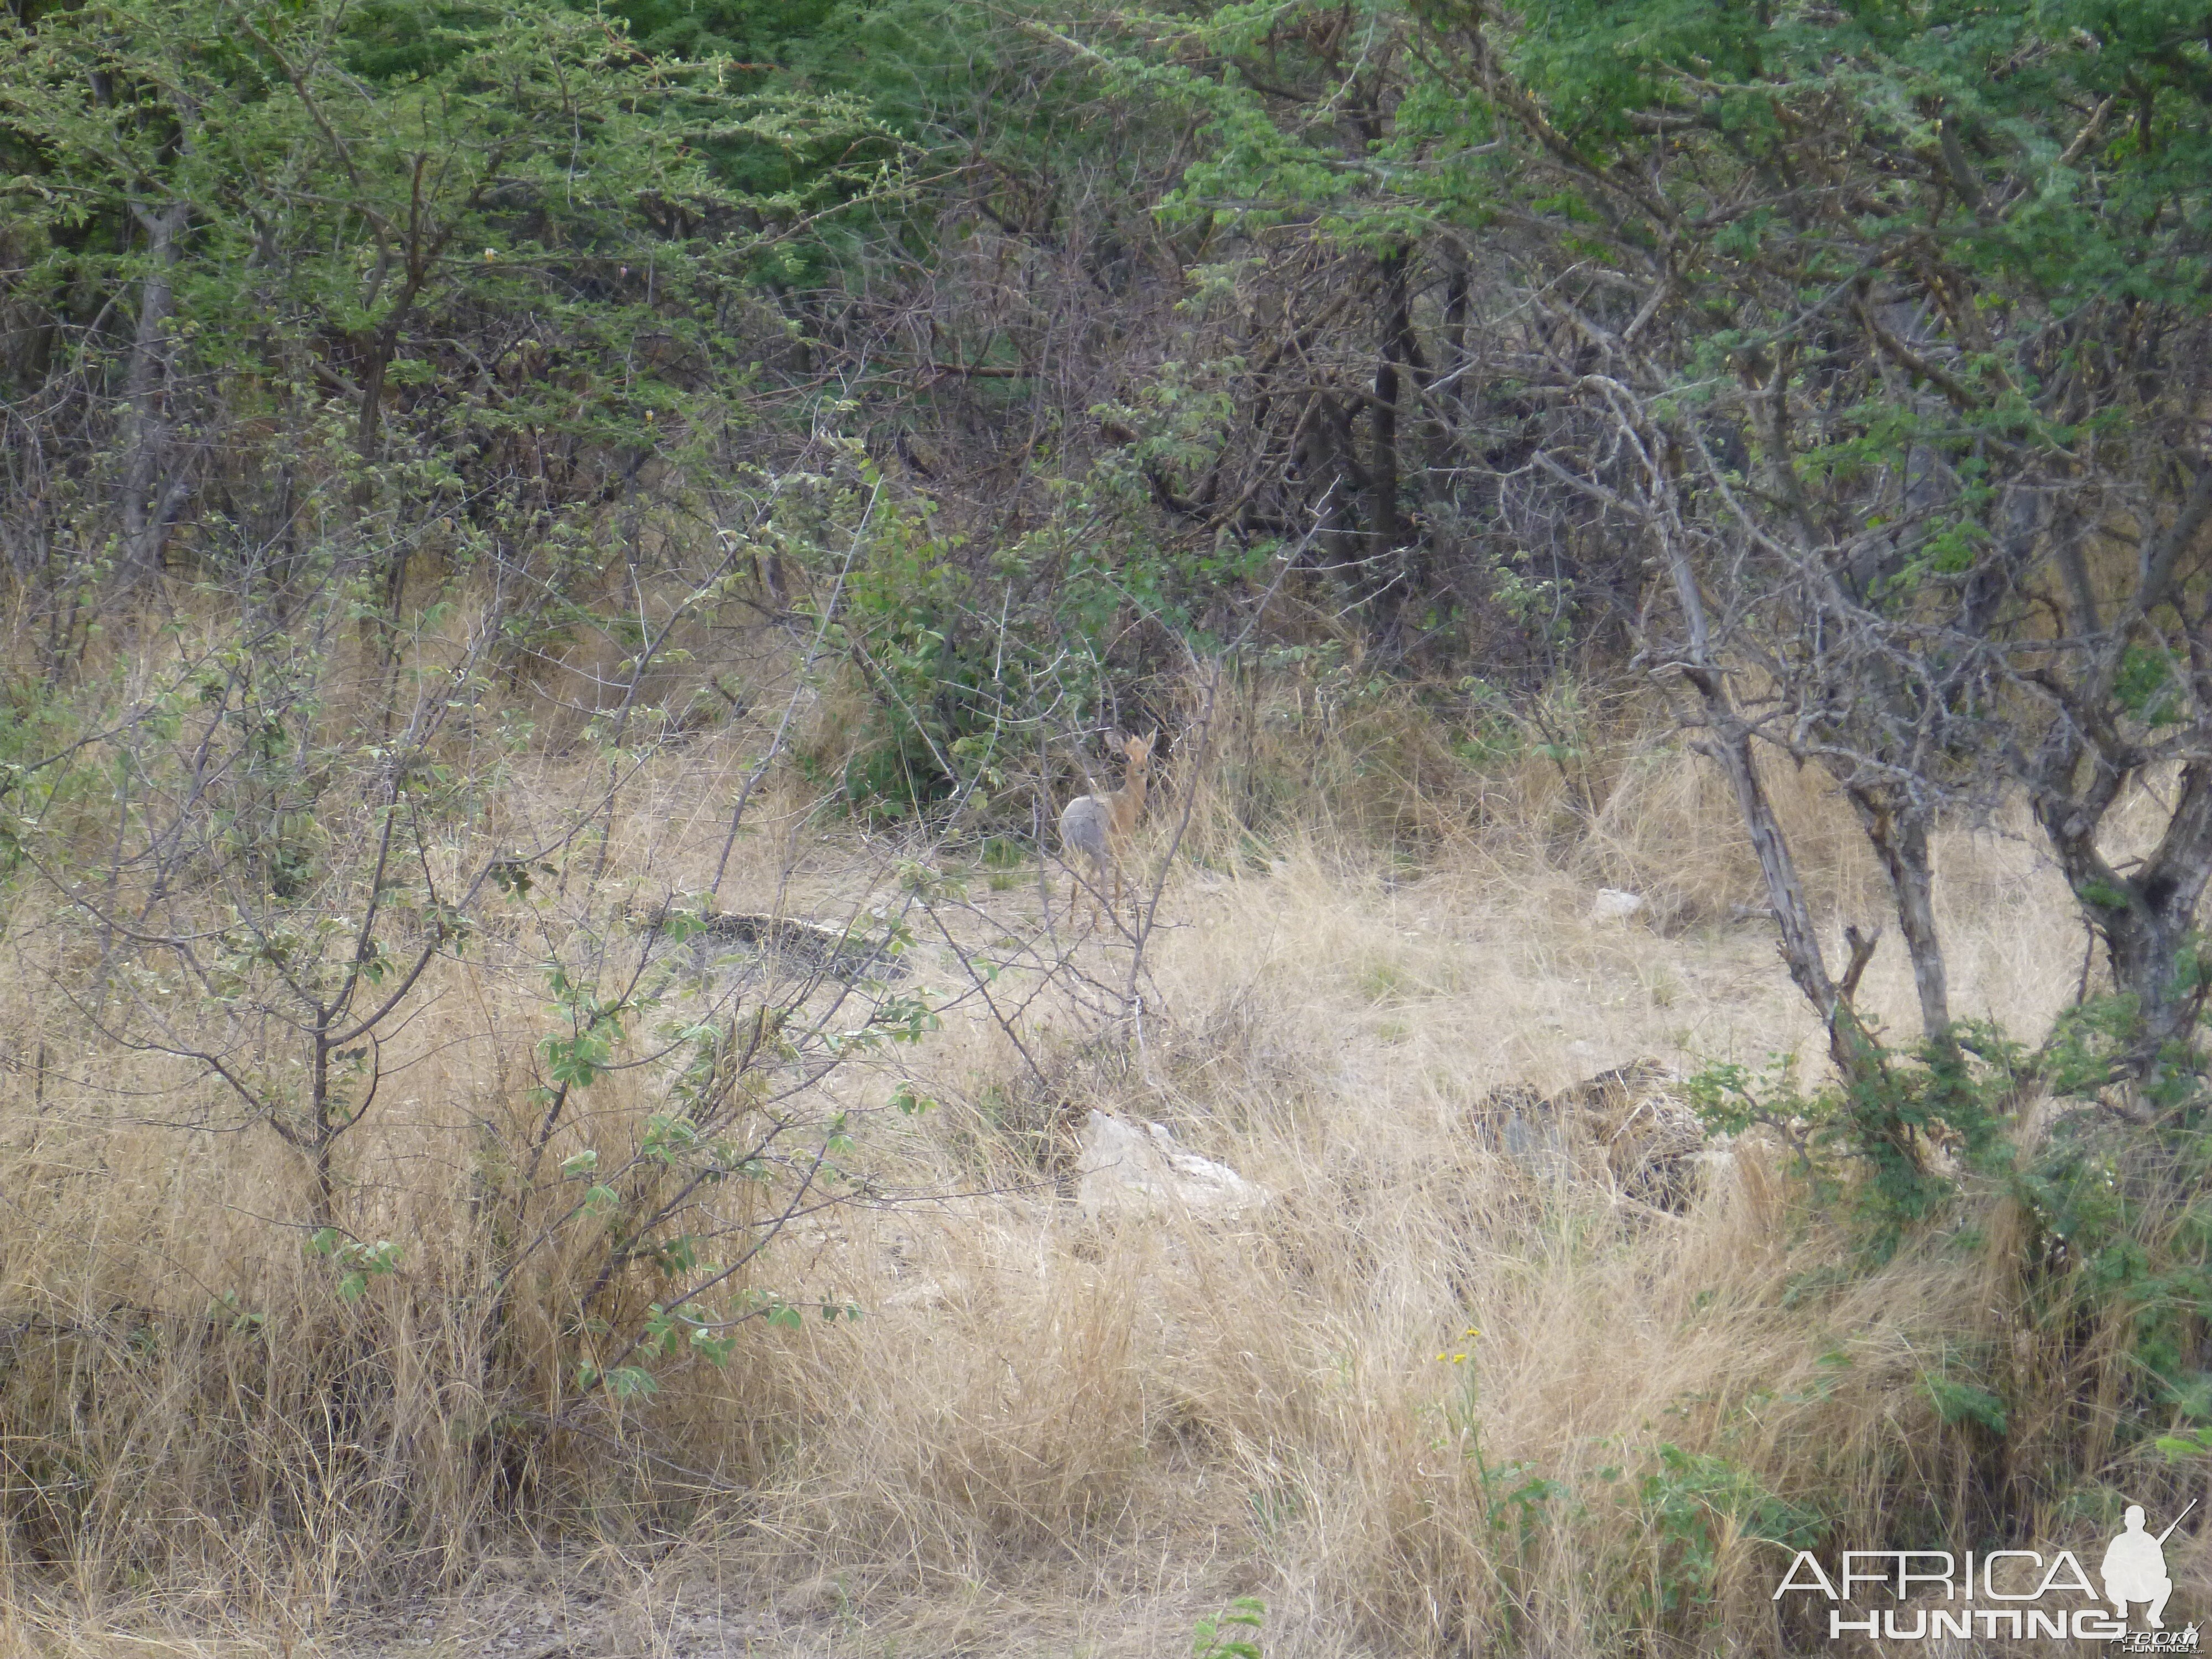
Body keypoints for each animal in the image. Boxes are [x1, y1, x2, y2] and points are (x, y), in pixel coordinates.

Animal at [1057, 734, 1159, 929]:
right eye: (1128, 756)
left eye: (1147, 754)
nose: (1142, 770)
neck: (1128, 800)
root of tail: (1074, 818)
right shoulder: (1121, 851)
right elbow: (1118, 885)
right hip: (1097, 853)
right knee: (1094, 883)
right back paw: (1099, 925)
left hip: (1074, 852)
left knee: (1077, 883)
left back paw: (1074, 924)